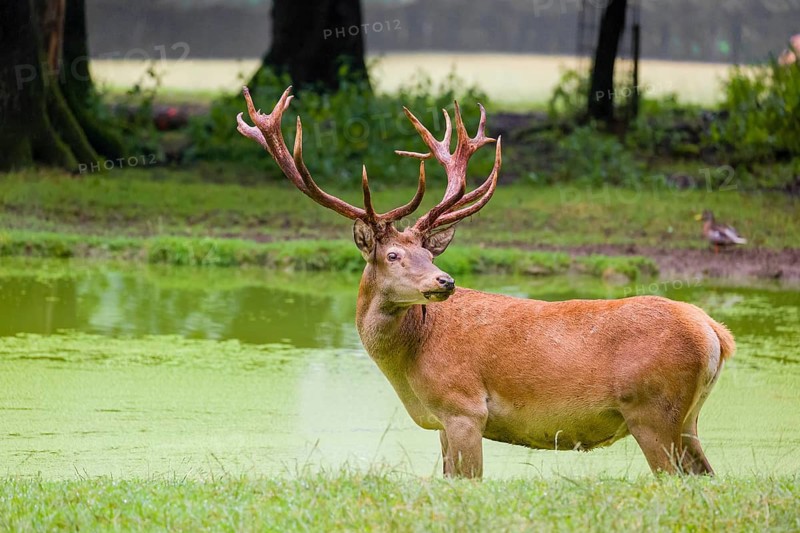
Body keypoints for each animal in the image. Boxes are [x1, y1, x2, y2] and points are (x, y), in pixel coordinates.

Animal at [237, 86, 735, 478]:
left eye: (429, 254)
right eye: (395, 254)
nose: (445, 280)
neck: (411, 365)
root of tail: (715, 333)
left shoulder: (464, 408)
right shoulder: (441, 423)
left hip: (652, 411)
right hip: (688, 419)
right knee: (706, 477)